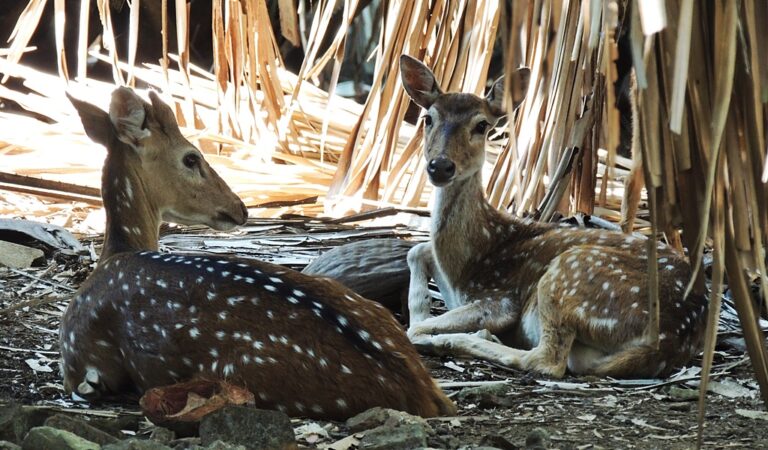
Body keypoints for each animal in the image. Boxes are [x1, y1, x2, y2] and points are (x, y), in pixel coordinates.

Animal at [402, 55, 708, 380]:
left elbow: (416, 326)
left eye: (482, 125)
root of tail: (670, 339)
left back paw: (470, 338)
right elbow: (415, 249)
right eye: (428, 119)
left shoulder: (499, 299)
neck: (469, 260)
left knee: (548, 360)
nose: (440, 166)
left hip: (568, 273)